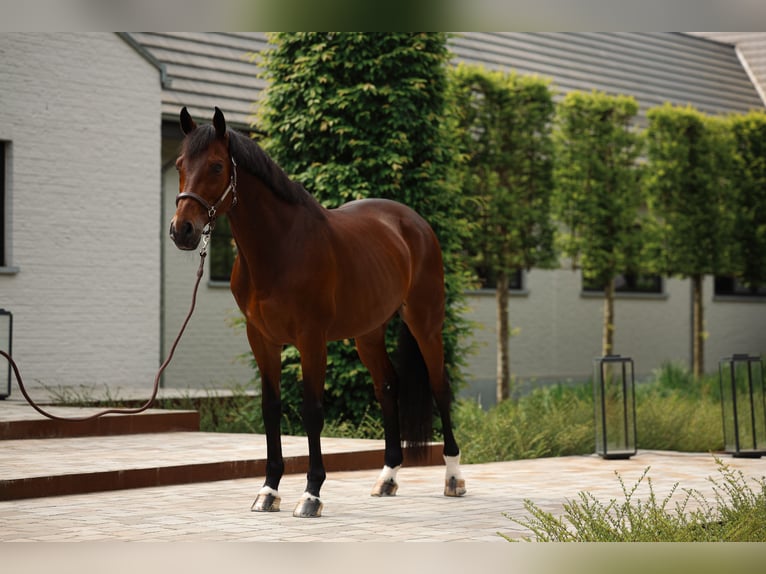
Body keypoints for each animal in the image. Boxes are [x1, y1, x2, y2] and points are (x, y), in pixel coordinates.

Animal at [170, 107, 466, 517]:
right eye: (180, 165)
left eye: (215, 166)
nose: (182, 230)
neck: (279, 248)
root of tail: (415, 223)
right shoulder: (261, 338)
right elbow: (271, 408)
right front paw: (268, 491)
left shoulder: (311, 339)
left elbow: (312, 410)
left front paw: (311, 494)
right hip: (368, 332)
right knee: (388, 386)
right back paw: (387, 478)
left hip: (425, 323)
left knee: (440, 386)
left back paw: (453, 477)